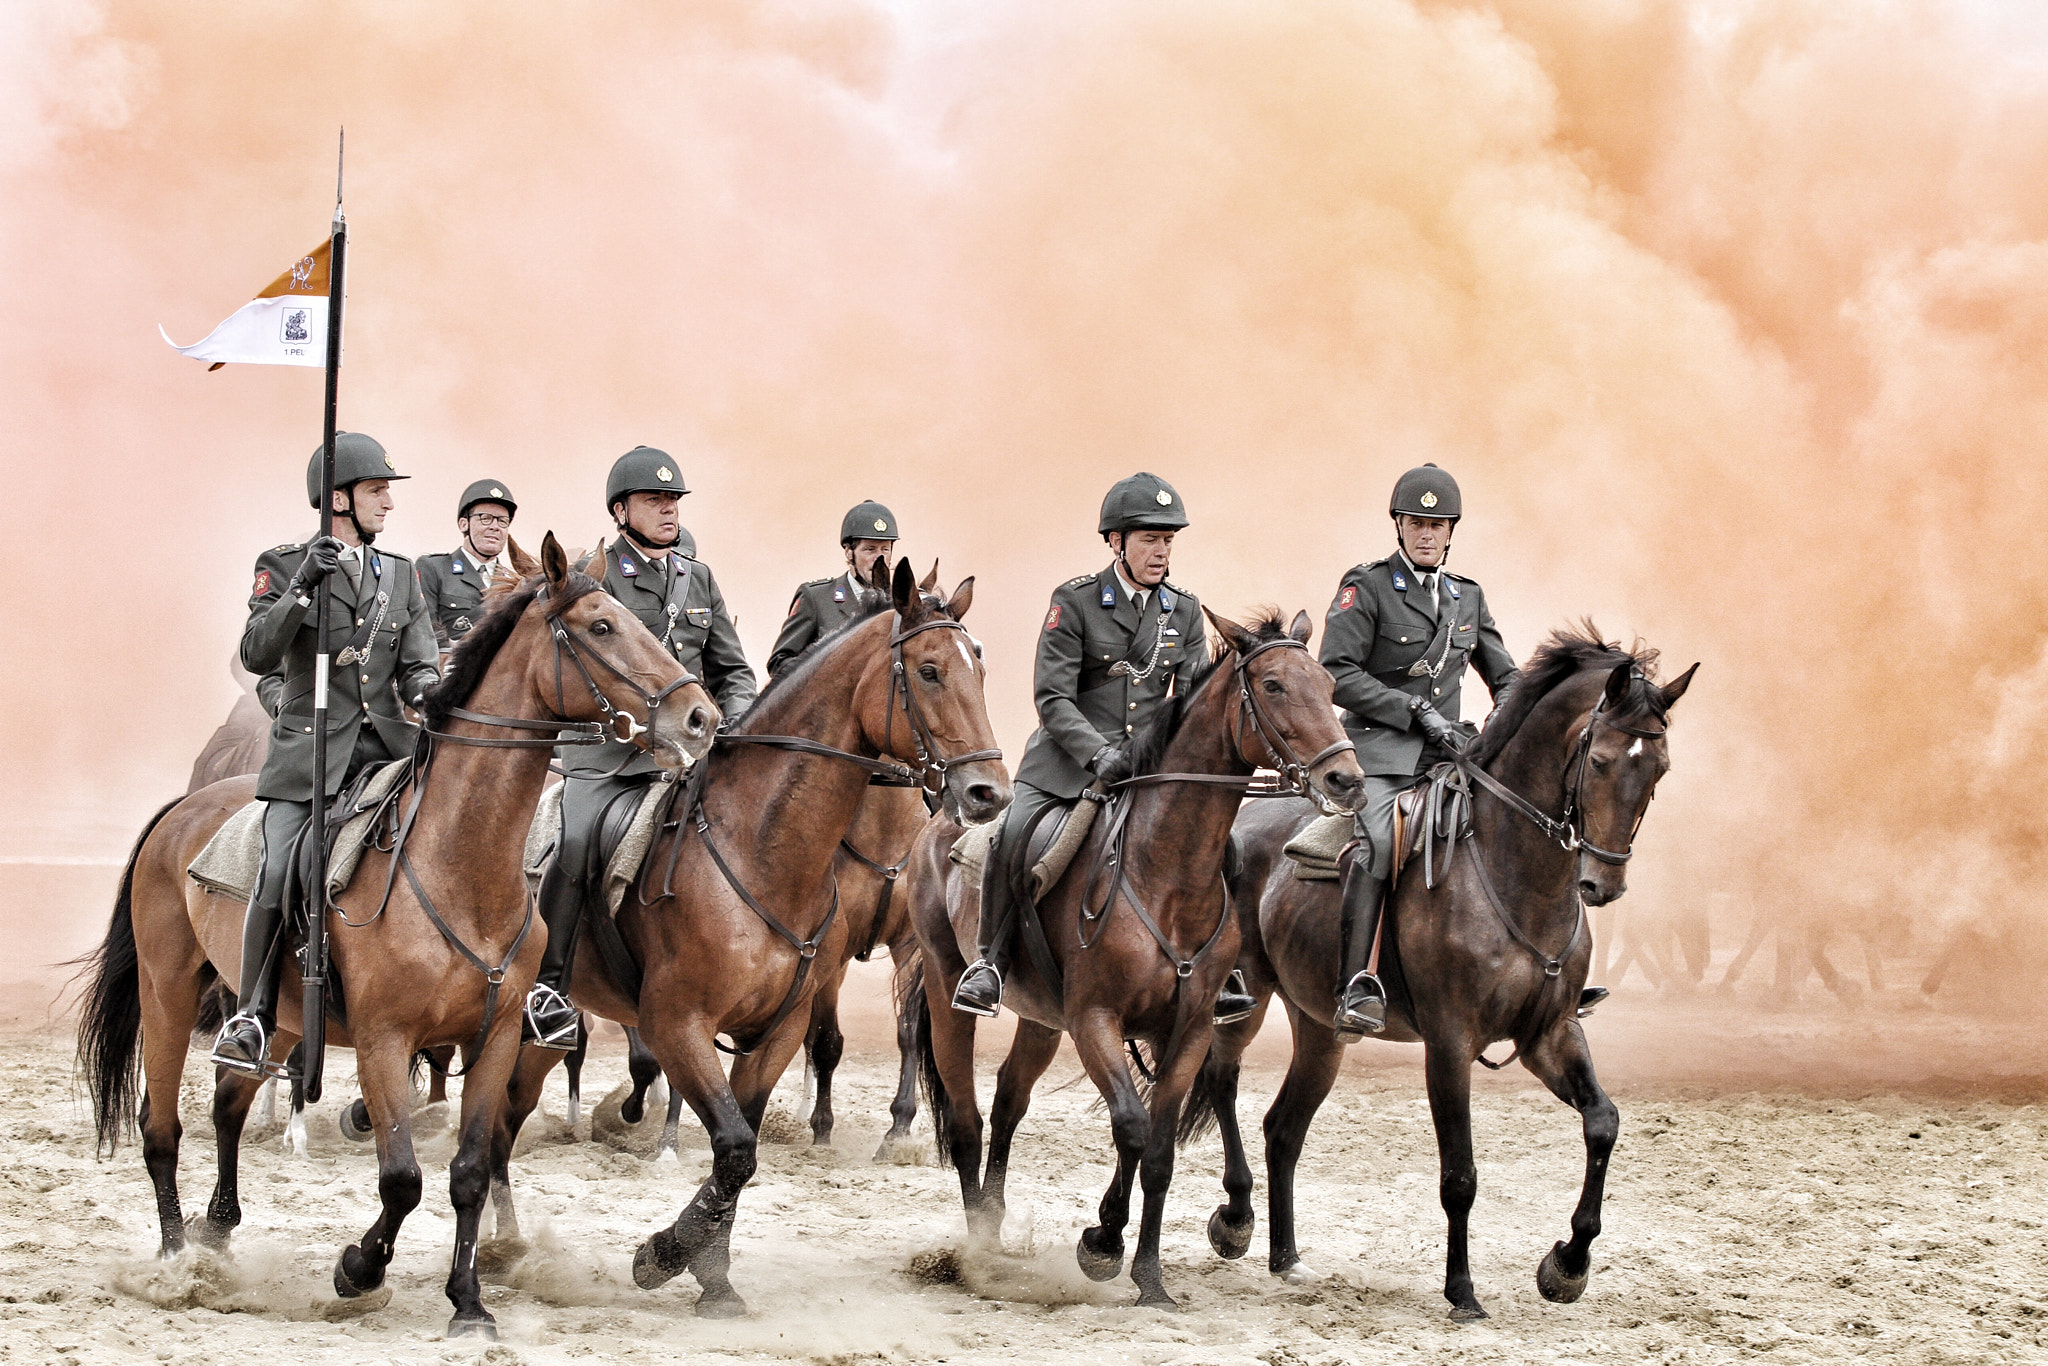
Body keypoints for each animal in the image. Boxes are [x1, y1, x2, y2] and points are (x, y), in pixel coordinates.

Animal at [77, 540, 720, 1343]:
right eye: (603, 626)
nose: (702, 717)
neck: (460, 863)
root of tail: (185, 806)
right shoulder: (384, 1041)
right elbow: (403, 1178)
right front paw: (359, 1269)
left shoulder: (495, 1037)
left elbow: (468, 1173)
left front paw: (469, 1303)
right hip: (167, 993)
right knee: (160, 1128)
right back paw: (176, 1266)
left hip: (280, 1015)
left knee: (228, 1102)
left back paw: (216, 1232)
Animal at [493, 557, 1007, 1310]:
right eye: (931, 670)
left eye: (981, 666)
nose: (988, 793)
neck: (759, 846)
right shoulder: (679, 1023)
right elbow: (734, 1148)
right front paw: (664, 1254)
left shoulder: (776, 1030)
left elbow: (742, 1151)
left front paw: (712, 1277)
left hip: (539, 1034)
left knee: (505, 1116)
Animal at [909, 610, 1359, 1310]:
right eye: (1275, 685)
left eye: (1329, 684)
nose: (1347, 779)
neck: (1166, 873)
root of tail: (946, 813)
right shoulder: (1096, 1019)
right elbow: (1131, 1124)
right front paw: (1103, 1244)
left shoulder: (1191, 1028)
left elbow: (1159, 1149)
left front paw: (1146, 1275)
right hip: (945, 984)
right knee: (965, 1119)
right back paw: (979, 1250)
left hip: (1042, 1018)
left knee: (1009, 1101)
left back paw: (998, 1224)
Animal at [1187, 630, 1695, 1327]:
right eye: (1600, 761)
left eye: (1659, 769)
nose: (1603, 883)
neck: (1516, 872)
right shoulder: (1450, 1045)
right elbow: (1461, 1174)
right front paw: (1462, 1291)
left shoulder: (1551, 1035)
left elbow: (1603, 1122)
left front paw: (1567, 1265)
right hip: (1248, 997)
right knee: (1222, 1078)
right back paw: (1236, 1219)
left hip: (1320, 1026)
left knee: (1283, 1129)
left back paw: (1286, 1258)